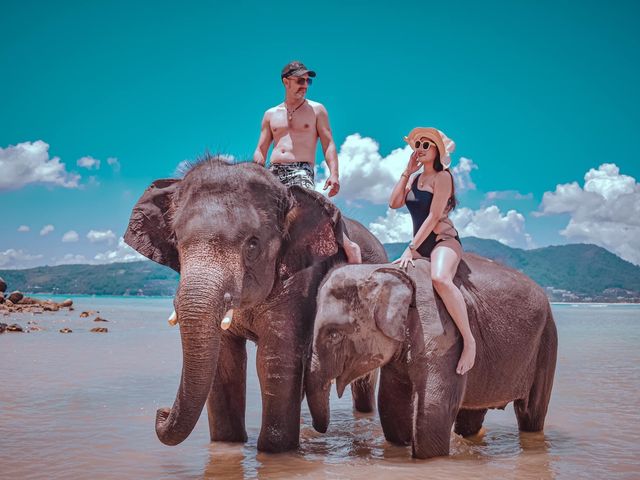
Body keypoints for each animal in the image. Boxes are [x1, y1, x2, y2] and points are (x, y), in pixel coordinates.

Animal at [308, 256, 556, 460]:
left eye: (333, 334)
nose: (321, 432)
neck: (387, 269)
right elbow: (391, 401)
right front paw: (401, 446)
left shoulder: (442, 330)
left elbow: (433, 408)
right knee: (471, 418)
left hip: (546, 343)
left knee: (531, 413)